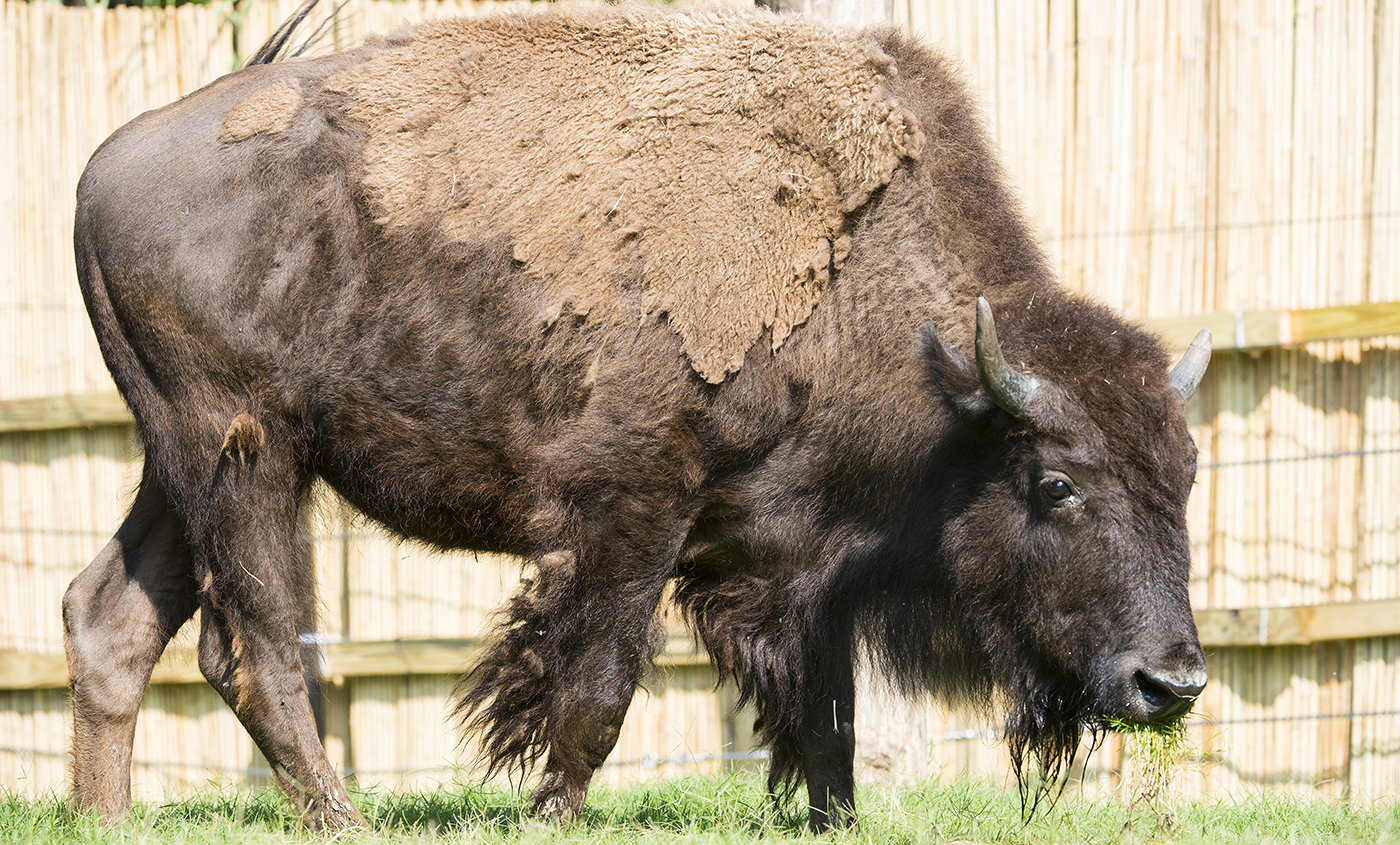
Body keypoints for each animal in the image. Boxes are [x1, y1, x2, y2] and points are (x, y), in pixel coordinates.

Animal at [60, 3, 1209, 833]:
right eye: (1056, 482)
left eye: (1185, 477)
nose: (1172, 680)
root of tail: (104, 163)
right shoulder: (632, 510)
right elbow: (593, 691)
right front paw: (550, 815)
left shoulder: (800, 566)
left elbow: (827, 724)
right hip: (245, 453)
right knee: (254, 650)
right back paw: (340, 820)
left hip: (176, 465)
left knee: (109, 618)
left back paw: (106, 818)